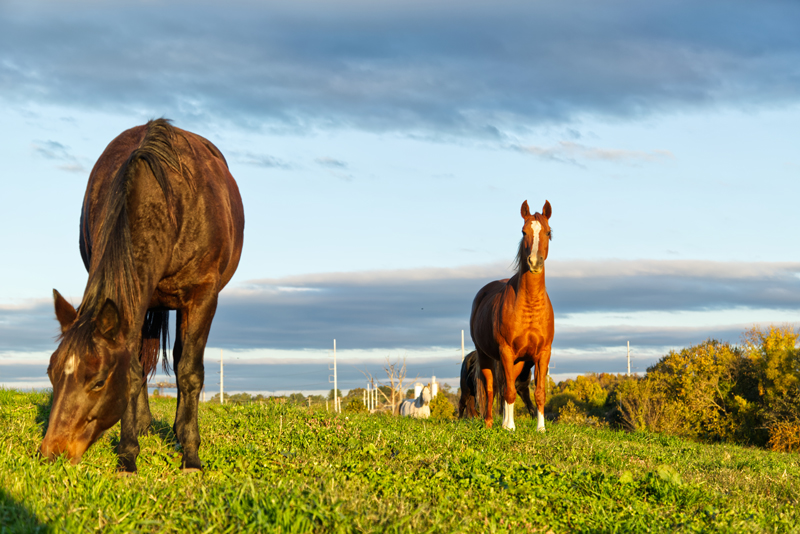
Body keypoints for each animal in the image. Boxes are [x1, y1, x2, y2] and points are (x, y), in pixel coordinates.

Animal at [40, 119, 245, 473]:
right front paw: (128, 454)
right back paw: (144, 425)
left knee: (179, 360)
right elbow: (134, 373)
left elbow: (189, 371)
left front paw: (191, 455)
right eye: (51, 374)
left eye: (98, 381)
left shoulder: (202, 296)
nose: (53, 452)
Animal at [469, 200, 554, 431]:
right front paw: (510, 428)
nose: (534, 262)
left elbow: (539, 393)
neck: (530, 305)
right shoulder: (505, 352)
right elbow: (507, 391)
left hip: (519, 362)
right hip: (486, 356)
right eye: (524, 231)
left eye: (549, 232)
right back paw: (491, 423)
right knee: (492, 387)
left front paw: (540, 428)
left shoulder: (543, 354)